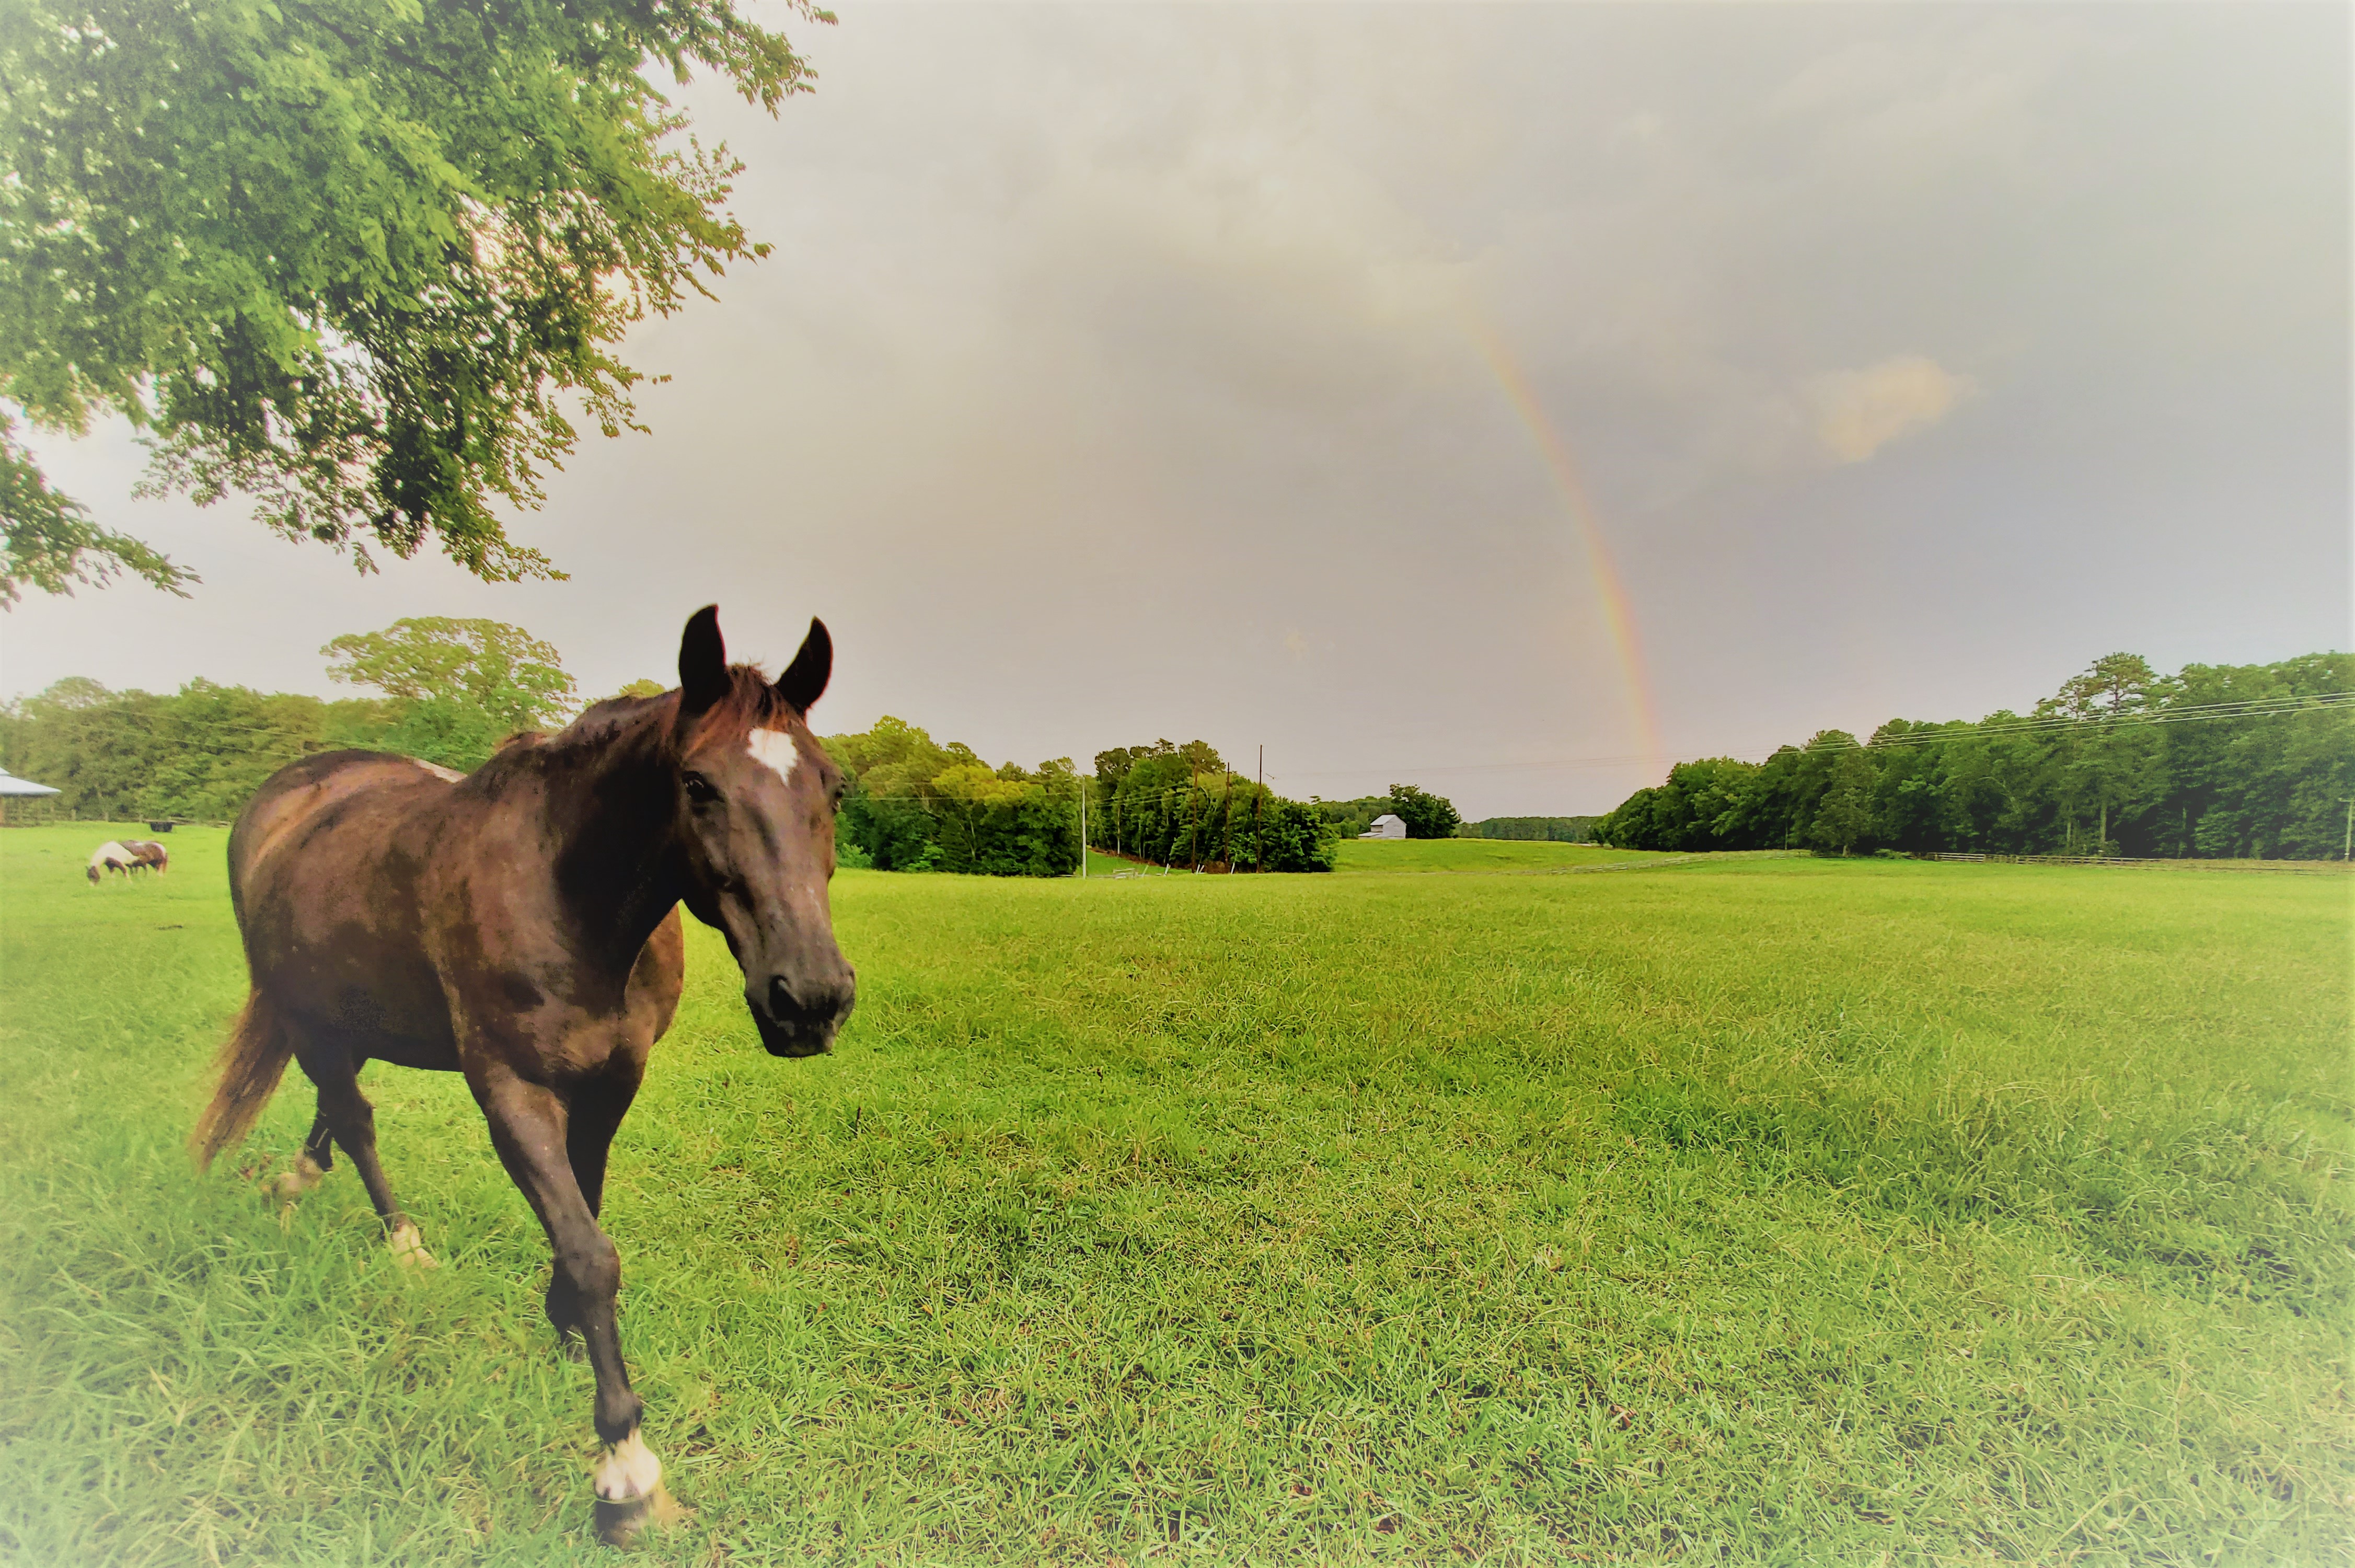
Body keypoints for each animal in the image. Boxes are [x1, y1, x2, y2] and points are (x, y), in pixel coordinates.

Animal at [193, 600, 857, 1535]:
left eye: (833, 788)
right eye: (696, 785)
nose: (811, 999)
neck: (568, 899)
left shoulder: (613, 1083)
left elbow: (585, 1215)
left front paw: (564, 1330)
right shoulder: (511, 1090)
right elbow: (588, 1251)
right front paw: (625, 1465)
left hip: (348, 1013)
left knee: (336, 1103)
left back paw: (301, 1184)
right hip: (307, 1013)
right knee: (353, 1115)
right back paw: (399, 1243)